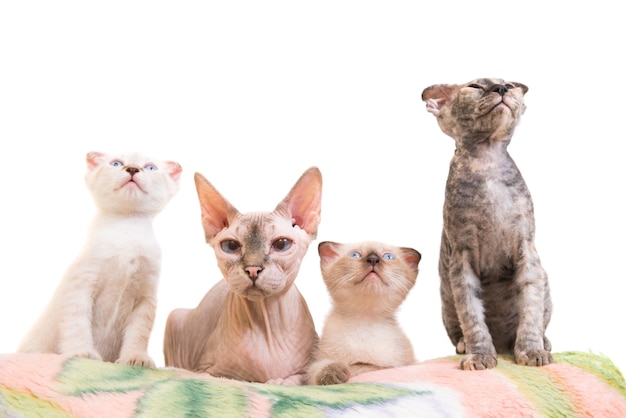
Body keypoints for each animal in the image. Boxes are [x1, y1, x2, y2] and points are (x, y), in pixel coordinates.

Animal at [17, 150, 182, 366]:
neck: (127, 230)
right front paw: (82, 353)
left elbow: (138, 334)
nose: (132, 169)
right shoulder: (80, 288)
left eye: (150, 167)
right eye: (116, 163)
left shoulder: (146, 298)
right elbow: (78, 325)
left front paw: (135, 358)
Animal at [304, 242, 420, 386]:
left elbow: (362, 365)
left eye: (388, 256)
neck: (364, 319)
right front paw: (333, 375)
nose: (373, 259)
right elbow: (318, 369)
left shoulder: (394, 365)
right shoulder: (318, 363)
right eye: (355, 255)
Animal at [420, 79, 552, 372]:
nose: (501, 88)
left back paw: (543, 342)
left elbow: (530, 309)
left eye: (510, 84)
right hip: (446, 300)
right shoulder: (461, 259)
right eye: (475, 86)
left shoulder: (528, 252)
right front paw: (480, 355)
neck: (487, 160)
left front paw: (531, 350)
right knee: (459, 329)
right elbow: (472, 317)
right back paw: (464, 345)